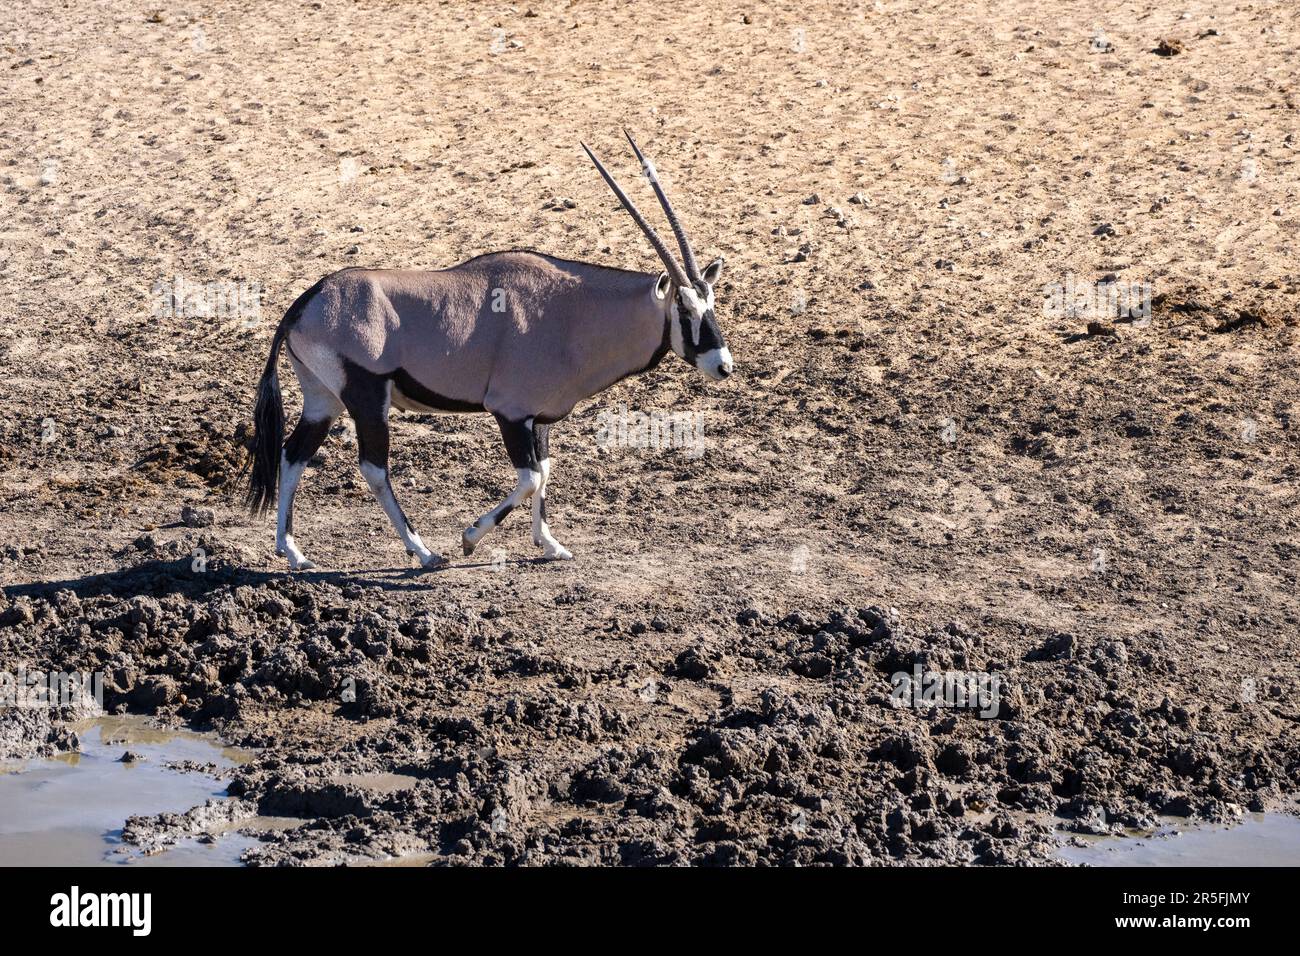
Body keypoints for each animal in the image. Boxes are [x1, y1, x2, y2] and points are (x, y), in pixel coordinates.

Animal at [244, 132, 733, 572]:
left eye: (712, 302)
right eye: (684, 308)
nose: (723, 365)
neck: (571, 312)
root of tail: (304, 302)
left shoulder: (539, 418)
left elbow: (545, 472)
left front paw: (550, 544)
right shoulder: (510, 412)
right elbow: (530, 477)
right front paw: (470, 538)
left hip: (323, 399)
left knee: (293, 454)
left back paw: (292, 551)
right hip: (366, 397)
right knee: (373, 468)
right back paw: (424, 552)